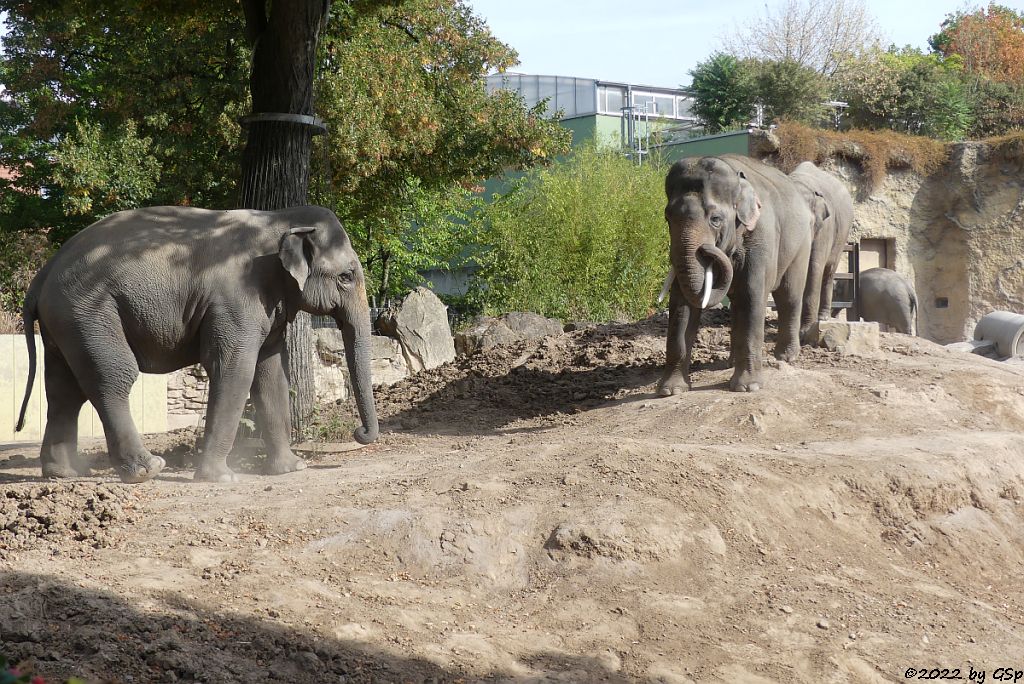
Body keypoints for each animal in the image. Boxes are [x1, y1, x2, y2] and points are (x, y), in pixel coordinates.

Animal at [17, 205, 380, 483]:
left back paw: (64, 473)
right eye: (346, 277)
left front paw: (292, 469)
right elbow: (233, 368)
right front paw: (222, 478)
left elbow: (271, 375)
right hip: (89, 312)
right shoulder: (237, 299)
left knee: (64, 389)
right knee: (112, 378)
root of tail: (44, 273)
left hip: (65, 323)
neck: (279, 219)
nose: (359, 433)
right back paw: (147, 470)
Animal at [655, 152, 815, 393]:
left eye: (715, 219)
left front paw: (747, 387)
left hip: (801, 245)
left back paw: (786, 357)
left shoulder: (761, 236)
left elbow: (752, 294)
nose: (707, 249)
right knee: (739, 305)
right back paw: (730, 362)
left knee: (789, 296)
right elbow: (681, 303)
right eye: (667, 218)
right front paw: (670, 390)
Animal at [786, 160, 851, 342]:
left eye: (808, 222)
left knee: (828, 272)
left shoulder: (825, 228)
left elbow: (814, 267)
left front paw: (804, 332)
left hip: (841, 236)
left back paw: (823, 317)